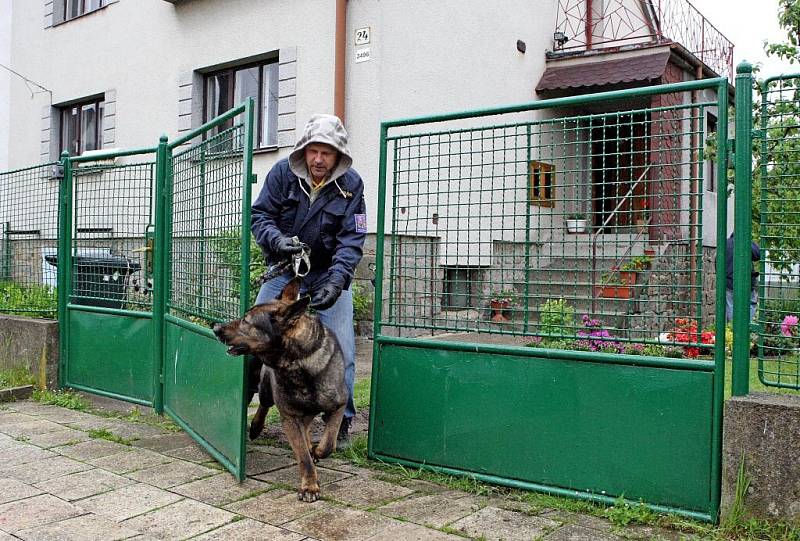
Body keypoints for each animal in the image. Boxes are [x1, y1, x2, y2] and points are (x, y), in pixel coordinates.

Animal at [212, 278, 346, 502]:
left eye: (246, 321)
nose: (215, 328)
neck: (298, 361)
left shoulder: (338, 406)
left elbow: (328, 444)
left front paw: (317, 452)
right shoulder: (289, 417)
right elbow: (303, 456)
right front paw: (309, 486)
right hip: (265, 389)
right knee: (264, 404)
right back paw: (256, 427)